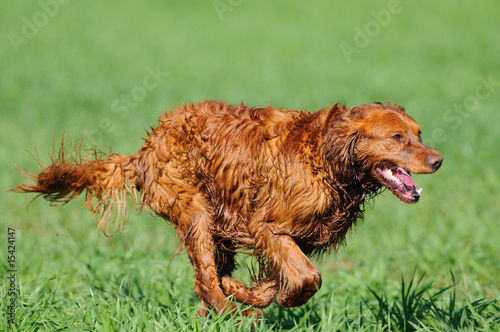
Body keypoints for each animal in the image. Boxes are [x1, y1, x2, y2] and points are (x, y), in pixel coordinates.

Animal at [13, 100, 442, 316]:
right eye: (396, 137)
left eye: (419, 133)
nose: (438, 160)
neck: (327, 157)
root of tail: (144, 150)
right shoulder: (267, 227)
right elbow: (308, 278)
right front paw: (262, 299)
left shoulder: (296, 238)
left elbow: (280, 281)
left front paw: (248, 291)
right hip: (196, 212)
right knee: (205, 278)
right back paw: (231, 313)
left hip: (215, 227)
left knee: (207, 279)